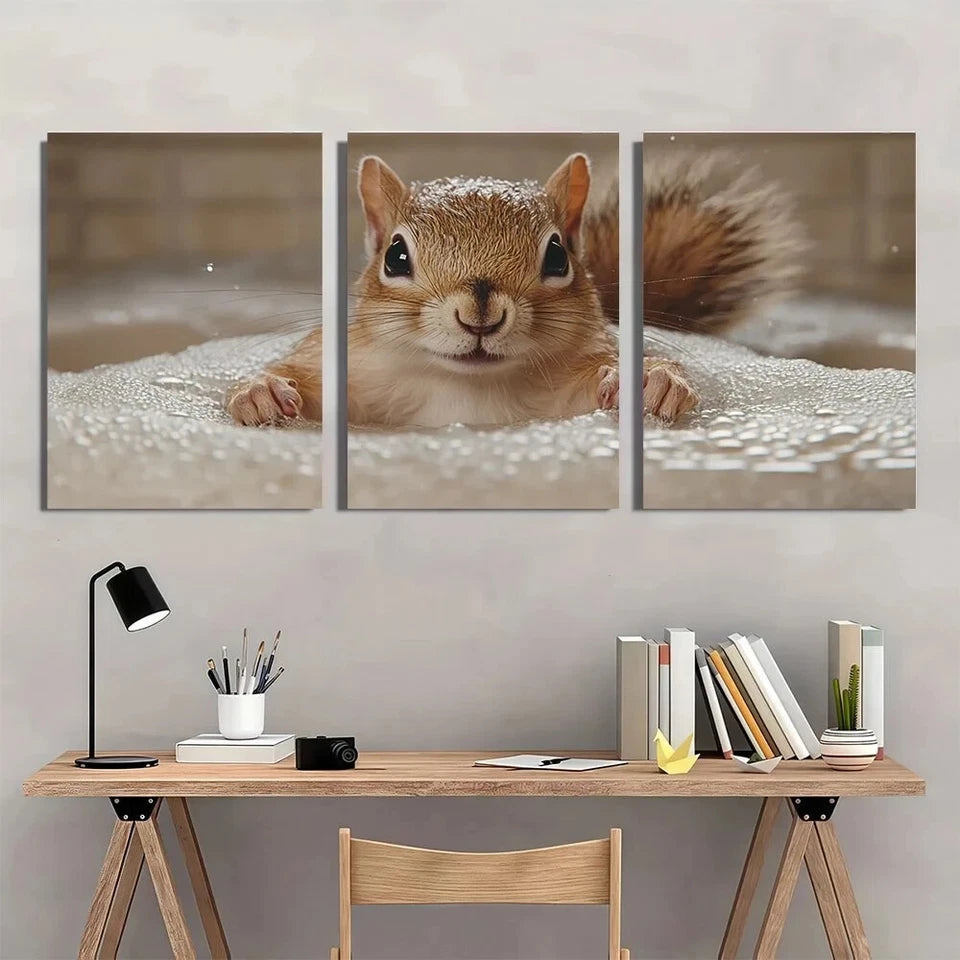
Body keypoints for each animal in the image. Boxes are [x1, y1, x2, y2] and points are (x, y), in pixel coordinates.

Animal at [227, 150, 800, 427]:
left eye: (558, 256)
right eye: (395, 256)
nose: (478, 313)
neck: (466, 388)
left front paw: (650, 382)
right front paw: (261, 394)